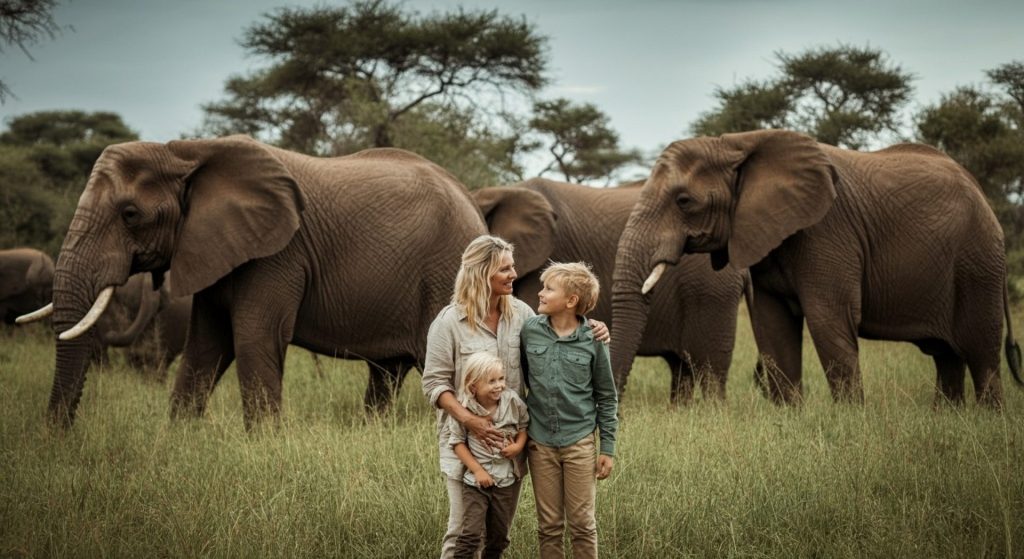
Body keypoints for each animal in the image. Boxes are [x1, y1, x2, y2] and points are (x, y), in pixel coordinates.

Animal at [22, 135, 485, 425]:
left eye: (130, 214)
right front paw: (179, 437)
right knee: (385, 372)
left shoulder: (278, 254)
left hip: (445, 273)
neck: (185, 152)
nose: (57, 435)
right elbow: (205, 345)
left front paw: (265, 443)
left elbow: (253, 336)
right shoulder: (214, 248)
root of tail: (473, 204)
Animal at [610, 129, 1019, 407]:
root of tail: (981, 193)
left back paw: (988, 420)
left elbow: (829, 319)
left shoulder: (827, 230)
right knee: (947, 356)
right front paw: (789, 416)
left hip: (977, 263)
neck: (737, 143)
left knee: (981, 351)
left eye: (684, 201)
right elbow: (773, 326)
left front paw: (851, 418)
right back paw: (948, 416)